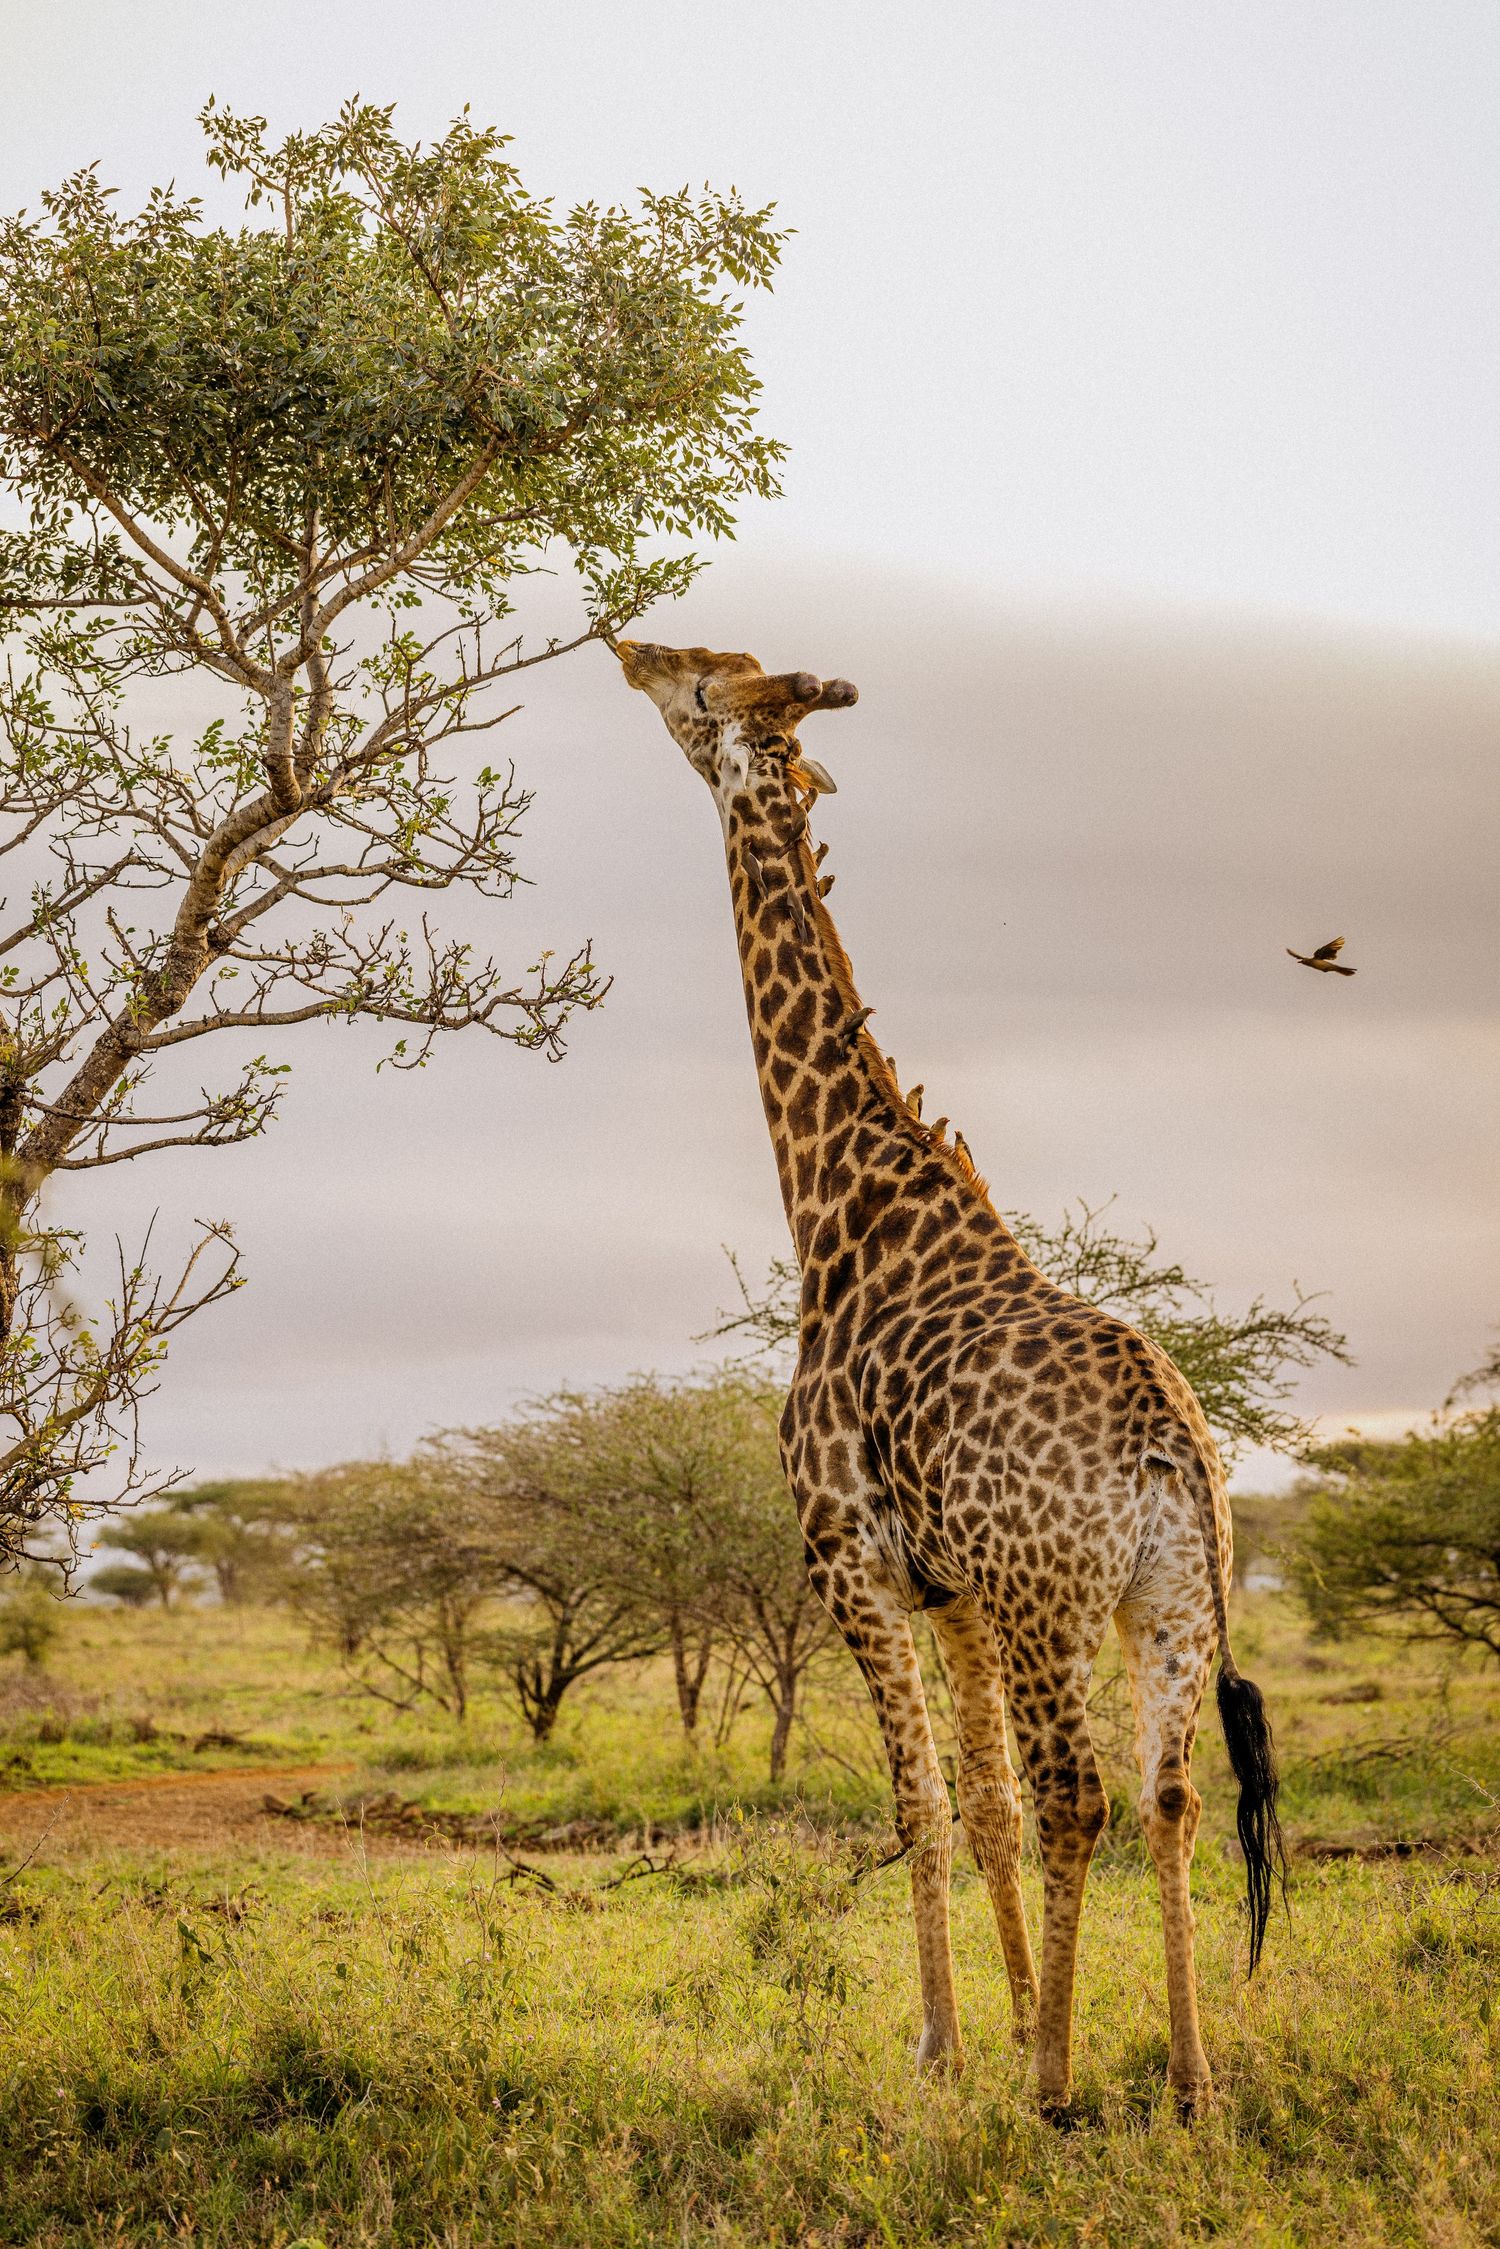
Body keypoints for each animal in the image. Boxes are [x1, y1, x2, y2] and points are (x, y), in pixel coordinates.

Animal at [615, 638, 1285, 2117]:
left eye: (704, 684)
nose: (629, 647)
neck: (840, 1216)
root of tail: (1167, 1438)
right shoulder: (957, 1590)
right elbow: (981, 1802)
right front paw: (1012, 2009)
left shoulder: (851, 1556)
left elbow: (921, 1796)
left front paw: (948, 2046)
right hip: (1168, 1596)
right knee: (1168, 1798)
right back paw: (1193, 2079)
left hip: (1057, 1599)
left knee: (1082, 1792)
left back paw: (1056, 2088)